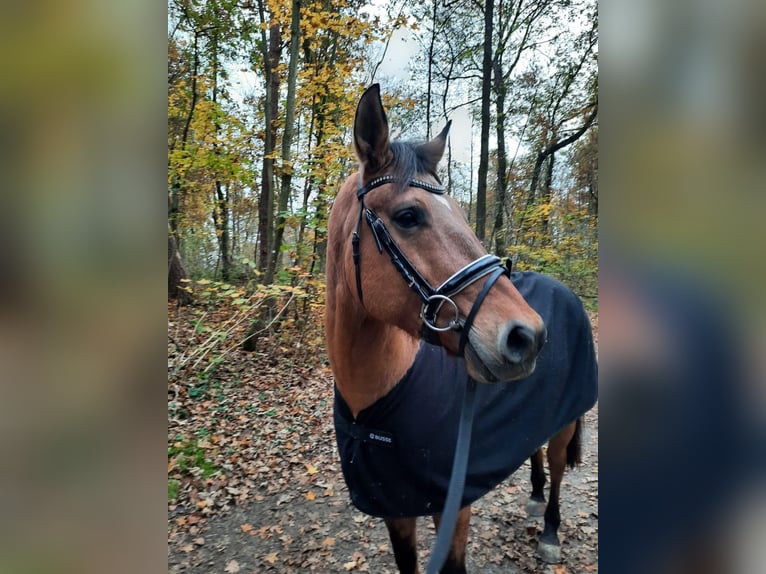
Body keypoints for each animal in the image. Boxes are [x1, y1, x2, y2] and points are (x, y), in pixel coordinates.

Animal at [324, 85, 600, 574]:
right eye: (408, 216)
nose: (527, 337)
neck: (373, 406)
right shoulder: (396, 510)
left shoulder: (453, 508)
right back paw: (533, 494)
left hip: (565, 421)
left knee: (557, 467)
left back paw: (549, 529)